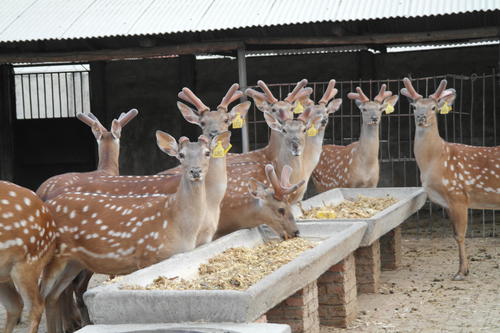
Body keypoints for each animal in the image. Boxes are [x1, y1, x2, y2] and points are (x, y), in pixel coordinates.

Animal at [400, 78, 500, 280]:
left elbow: (460, 235)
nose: (421, 117)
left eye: (433, 107)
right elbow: (454, 234)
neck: (435, 160)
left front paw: (461, 272)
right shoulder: (446, 202)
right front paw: (464, 270)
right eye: (414, 106)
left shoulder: (458, 193)